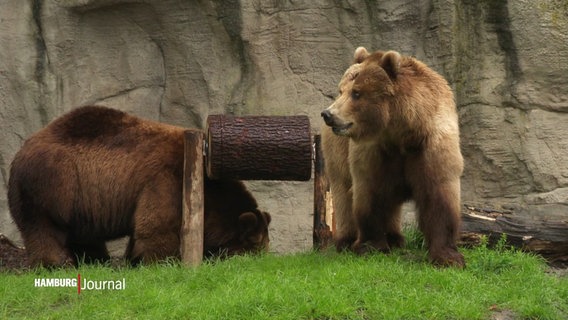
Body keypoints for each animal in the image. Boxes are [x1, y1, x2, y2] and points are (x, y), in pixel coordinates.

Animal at [7, 105, 270, 268]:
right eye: (255, 244)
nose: (264, 260)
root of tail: (20, 150)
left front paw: (133, 259)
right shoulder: (165, 179)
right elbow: (157, 226)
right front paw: (161, 261)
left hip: (81, 200)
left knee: (83, 234)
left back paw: (96, 260)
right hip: (54, 182)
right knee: (44, 226)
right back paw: (58, 263)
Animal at [322, 47, 464, 268]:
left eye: (356, 92)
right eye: (341, 90)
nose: (328, 114)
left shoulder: (431, 144)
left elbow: (439, 194)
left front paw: (448, 256)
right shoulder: (374, 151)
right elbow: (370, 193)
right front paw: (371, 246)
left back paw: (395, 238)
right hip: (337, 151)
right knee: (343, 191)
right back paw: (346, 241)